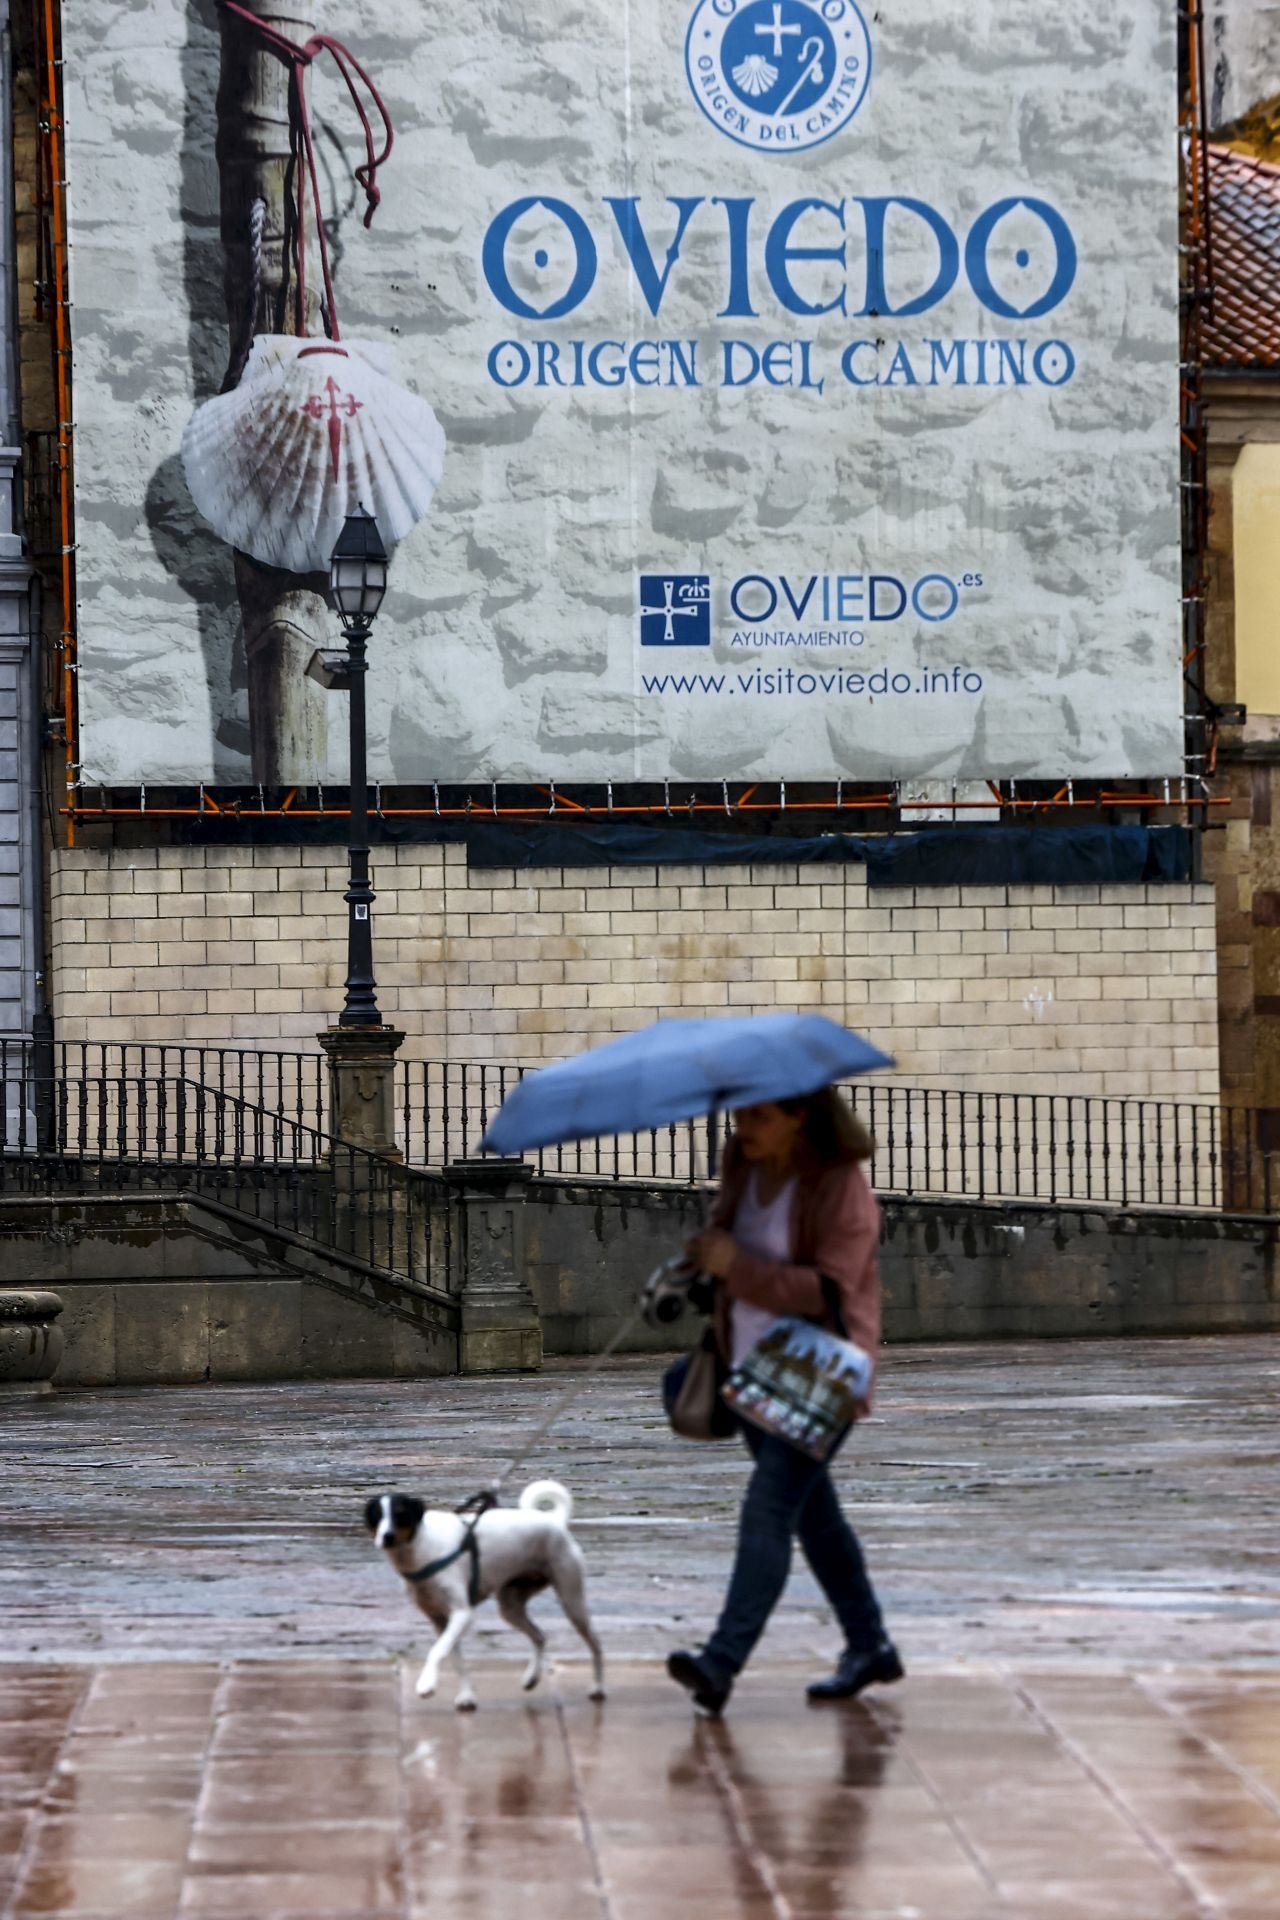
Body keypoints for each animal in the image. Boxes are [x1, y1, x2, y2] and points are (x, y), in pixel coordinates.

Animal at [362, 1482, 610, 1712]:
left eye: (400, 1513)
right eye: (377, 1516)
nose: (387, 1536)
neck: (420, 1550)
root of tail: (555, 1521)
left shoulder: (462, 1614)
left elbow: (437, 1651)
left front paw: (426, 1684)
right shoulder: (440, 1621)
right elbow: (456, 1660)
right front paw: (466, 1697)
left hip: (571, 1599)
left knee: (596, 1644)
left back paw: (598, 1687)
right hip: (510, 1606)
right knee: (540, 1636)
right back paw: (532, 1677)